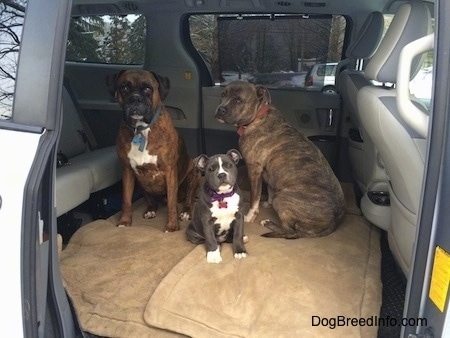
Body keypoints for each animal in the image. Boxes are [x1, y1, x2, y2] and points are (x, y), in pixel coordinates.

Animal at [106, 69, 200, 231]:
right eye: (124, 87)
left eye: (147, 89)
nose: (135, 98)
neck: (141, 130)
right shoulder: (128, 171)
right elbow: (126, 200)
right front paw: (124, 221)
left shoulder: (169, 170)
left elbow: (172, 203)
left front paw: (172, 226)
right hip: (139, 181)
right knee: (151, 199)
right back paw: (150, 210)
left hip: (194, 173)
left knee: (187, 199)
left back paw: (186, 212)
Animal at [214, 80, 344, 238]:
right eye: (223, 94)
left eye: (239, 100)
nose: (221, 110)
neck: (257, 116)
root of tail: (333, 223)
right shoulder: (267, 172)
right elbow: (270, 189)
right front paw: (267, 203)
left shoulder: (254, 170)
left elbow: (254, 198)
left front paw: (249, 217)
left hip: (281, 198)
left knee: (289, 230)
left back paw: (268, 224)